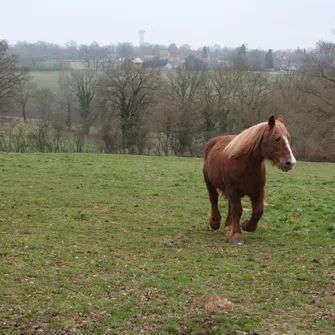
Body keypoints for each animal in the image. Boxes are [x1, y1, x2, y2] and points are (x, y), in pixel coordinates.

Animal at [205, 117, 296, 245]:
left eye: (288, 138)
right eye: (277, 139)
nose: (290, 163)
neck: (246, 164)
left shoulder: (258, 190)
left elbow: (258, 211)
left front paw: (247, 226)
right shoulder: (232, 190)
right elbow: (237, 210)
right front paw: (237, 235)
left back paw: (228, 227)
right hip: (210, 183)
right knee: (214, 199)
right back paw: (215, 222)